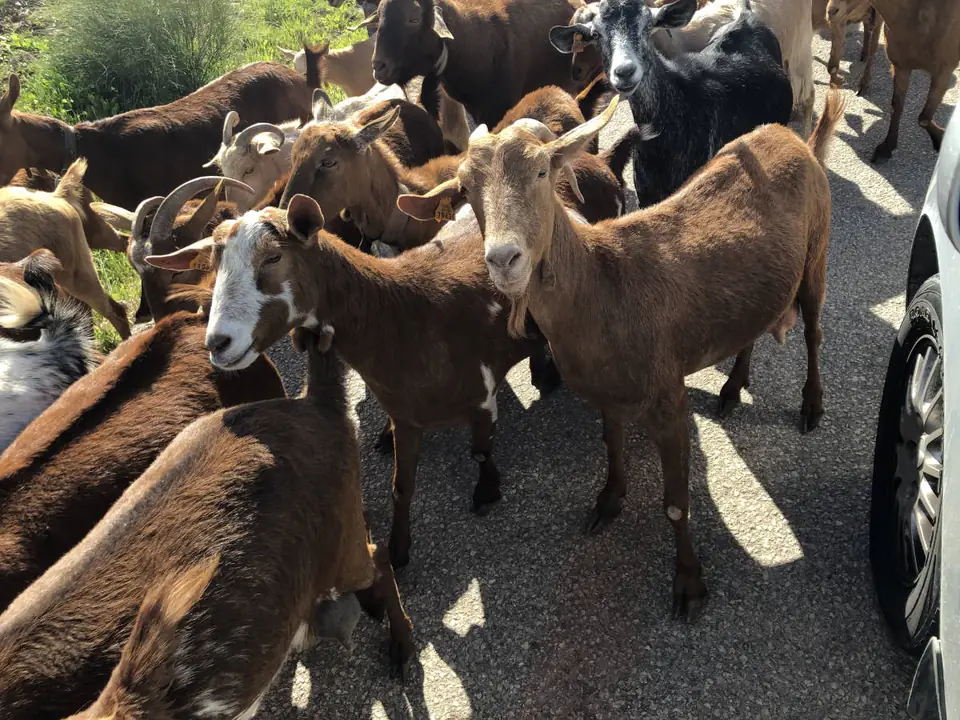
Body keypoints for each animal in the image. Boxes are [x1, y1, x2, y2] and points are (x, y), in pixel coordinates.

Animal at [145, 193, 562, 570]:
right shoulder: (406, 414)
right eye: (213, 266)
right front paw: (398, 550)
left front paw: (487, 490)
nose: (218, 344)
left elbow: (480, 451)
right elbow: (401, 488)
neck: (408, 314)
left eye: (273, 257)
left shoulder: (481, 395)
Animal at [403, 91, 843, 619]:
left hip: (817, 253)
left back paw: (812, 406)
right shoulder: (607, 396)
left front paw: (688, 585)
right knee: (753, 330)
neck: (604, 286)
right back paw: (733, 389)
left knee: (815, 331)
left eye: (542, 172)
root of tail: (798, 140)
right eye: (467, 187)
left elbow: (675, 503)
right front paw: (608, 502)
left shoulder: (670, 400)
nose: (504, 259)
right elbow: (611, 447)